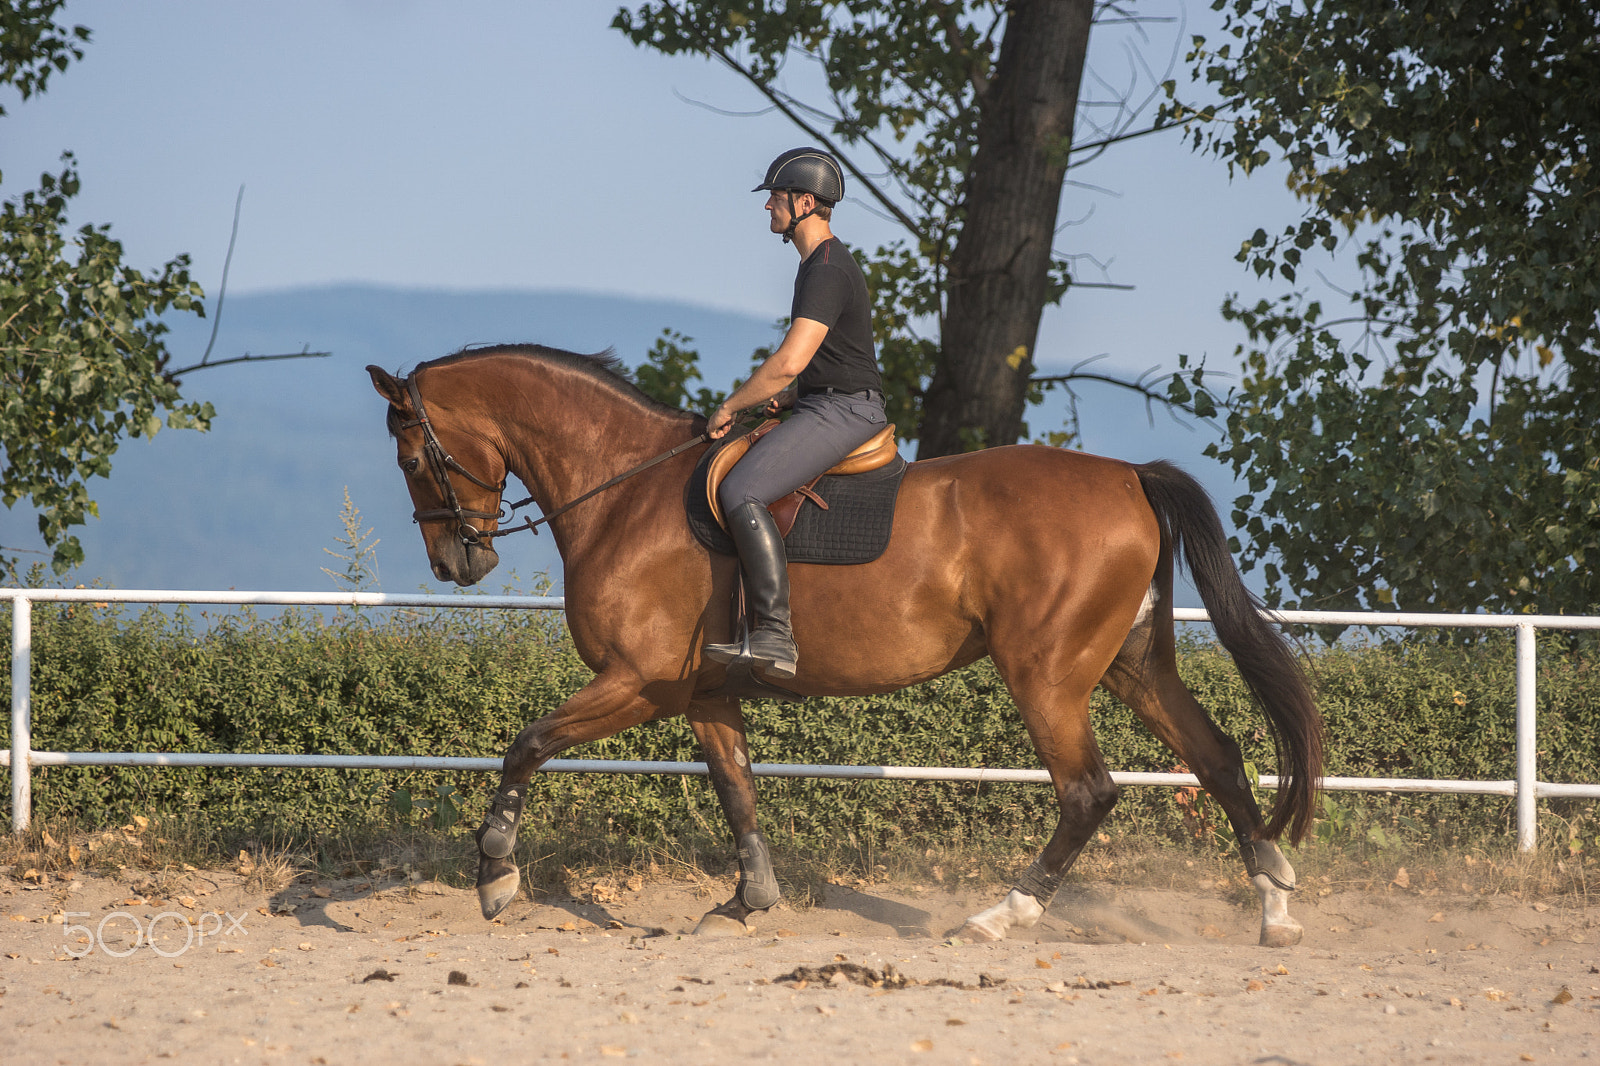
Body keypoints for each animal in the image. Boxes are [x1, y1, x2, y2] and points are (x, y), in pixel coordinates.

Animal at [366, 344, 1324, 941]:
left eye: (414, 460)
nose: (458, 561)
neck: (625, 490)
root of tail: (1129, 476)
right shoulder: (705, 694)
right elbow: (738, 793)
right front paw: (749, 903)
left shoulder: (639, 680)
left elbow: (526, 745)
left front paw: (495, 877)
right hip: (1129, 664)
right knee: (1220, 757)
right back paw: (1275, 912)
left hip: (1046, 675)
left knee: (1089, 793)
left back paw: (997, 919)